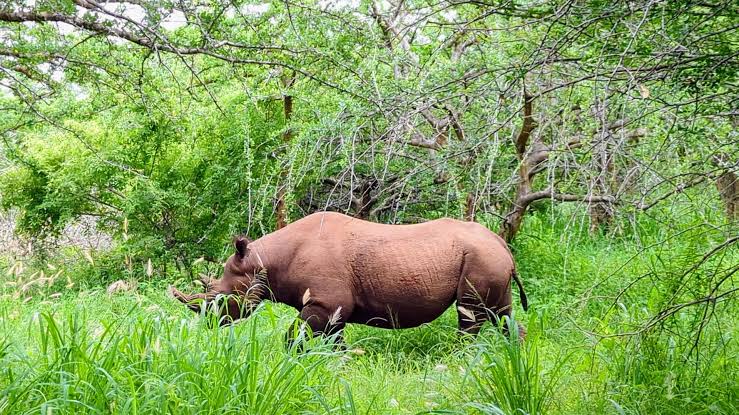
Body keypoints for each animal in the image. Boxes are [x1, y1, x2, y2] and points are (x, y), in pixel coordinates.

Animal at [171, 212, 528, 340]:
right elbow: (332, 343)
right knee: (501, 312)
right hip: (490, 258)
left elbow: (293, 337)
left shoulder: (326, 302)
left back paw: (462, 357)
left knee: (471, 315)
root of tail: (501, 243)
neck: (262, 261)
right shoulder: (332, 309)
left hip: (481, 258)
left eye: (220, 298)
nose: (210, 325)